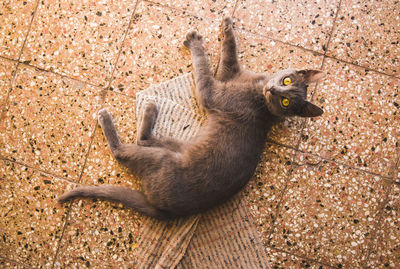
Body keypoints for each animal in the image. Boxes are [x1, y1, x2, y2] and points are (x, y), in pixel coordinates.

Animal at [57, 16, 324, 218]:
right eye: (286, 81)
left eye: (286, 101)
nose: (274, 90)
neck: (258, 93)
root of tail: (164, 211)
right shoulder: (230, 73)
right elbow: (230, 52)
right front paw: (228, 25)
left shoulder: (213, 93)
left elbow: (203, 68)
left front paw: (195, 42)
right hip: (180, 145)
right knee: (147, 139)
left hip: (163, 159)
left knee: (127, 149)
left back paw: (127, 112)